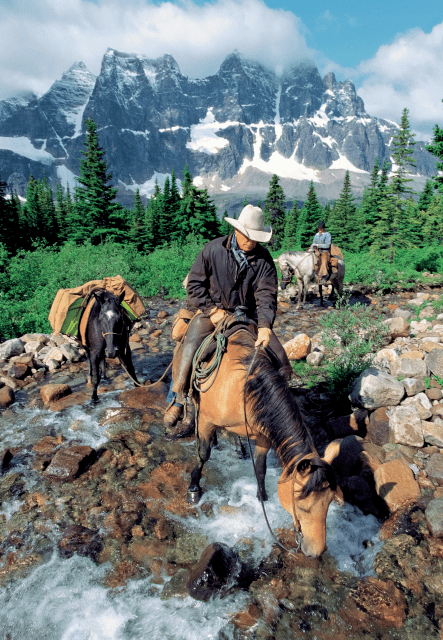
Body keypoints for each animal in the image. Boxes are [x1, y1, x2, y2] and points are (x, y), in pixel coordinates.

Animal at [188, 332, 344, 556]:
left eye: (330, 502)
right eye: (302, 506)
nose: (317, 551)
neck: (242, 388)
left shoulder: (263, 435)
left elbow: (260, 467)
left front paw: (262, 496)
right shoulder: (206, 420)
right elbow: (203, 453)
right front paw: (194, 488)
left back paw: (240, 449)